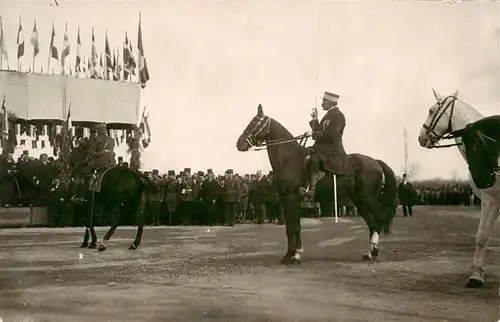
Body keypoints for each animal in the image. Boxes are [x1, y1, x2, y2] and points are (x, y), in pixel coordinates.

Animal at [236, 105, 396, 264]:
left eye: (255, 122)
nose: (239, 144)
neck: (288, 158)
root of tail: (375, 162)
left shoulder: (292, 198)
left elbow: (294, 227)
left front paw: (296, 255)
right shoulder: (285, 200)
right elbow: (289, 227)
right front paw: (289, 255)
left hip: (368, 199)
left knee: (378, 220)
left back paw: (374, 250)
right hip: (359, 201)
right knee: (372, 223)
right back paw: (369, 253)